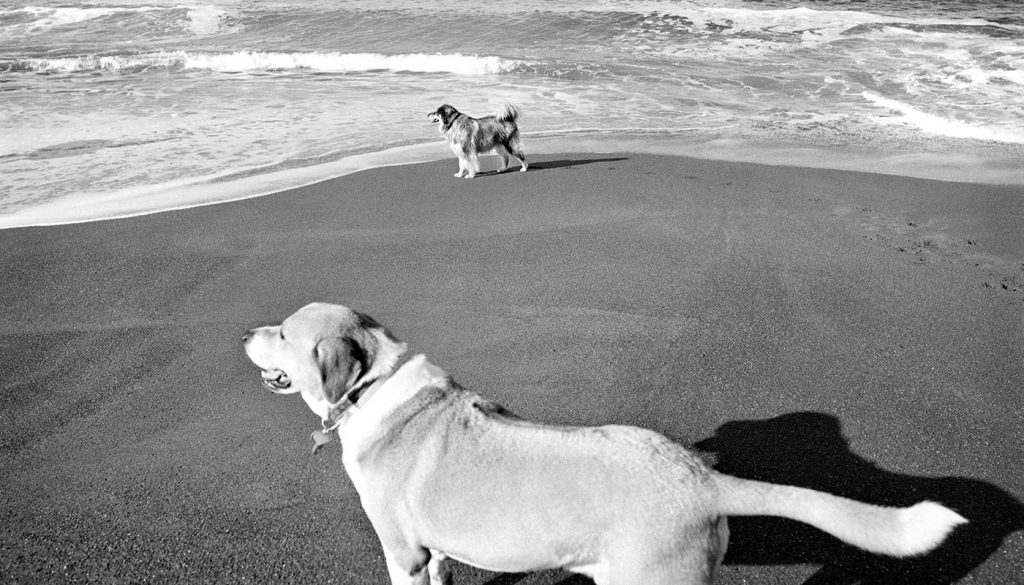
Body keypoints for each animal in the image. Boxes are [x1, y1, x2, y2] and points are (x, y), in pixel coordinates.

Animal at [241, 301, 966, 585]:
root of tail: (698, 477)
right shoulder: (433, 553)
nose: (245, 333)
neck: (376, 386)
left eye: (283, 333)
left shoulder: (404, 552)